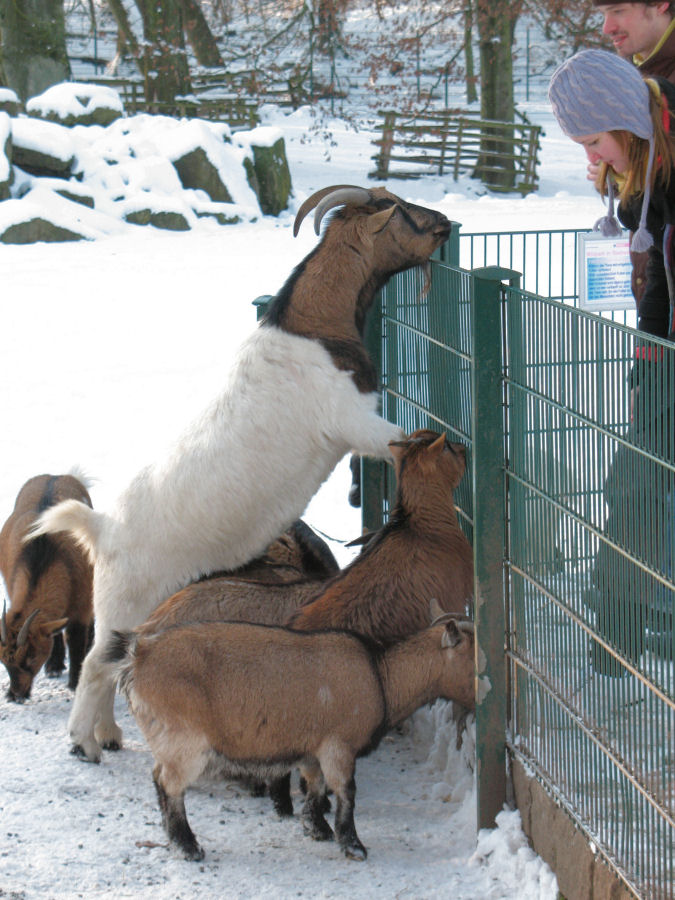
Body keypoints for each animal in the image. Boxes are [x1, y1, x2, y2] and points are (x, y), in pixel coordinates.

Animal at [0, 474, 93, 700]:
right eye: (4, 662)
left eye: (31, 657)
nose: (16, 695)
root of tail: (56, 476)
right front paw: (53, 666)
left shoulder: (82, 605)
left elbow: (75, 641)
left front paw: (75, 683)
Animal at [26, 186, 452, 764]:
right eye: (401, 211)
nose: (446, 222)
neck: (311, 329)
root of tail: (102, 528)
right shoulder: (354, 422)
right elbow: (397, 440)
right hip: (126, 596)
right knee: (95, 664)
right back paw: (84, 742)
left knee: (111, 661)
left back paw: (109, 734)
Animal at [107, 608, 476, 860]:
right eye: (473, 660)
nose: (482, 699)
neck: (381, 676)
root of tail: (138, 657)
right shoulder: (338, 745)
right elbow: (347, 792)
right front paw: (353, 845)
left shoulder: (313, 749)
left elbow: (316, 787)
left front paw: (317, 829)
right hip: (185, 740)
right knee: (168, 784)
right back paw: (188, 845)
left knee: (160, 779)